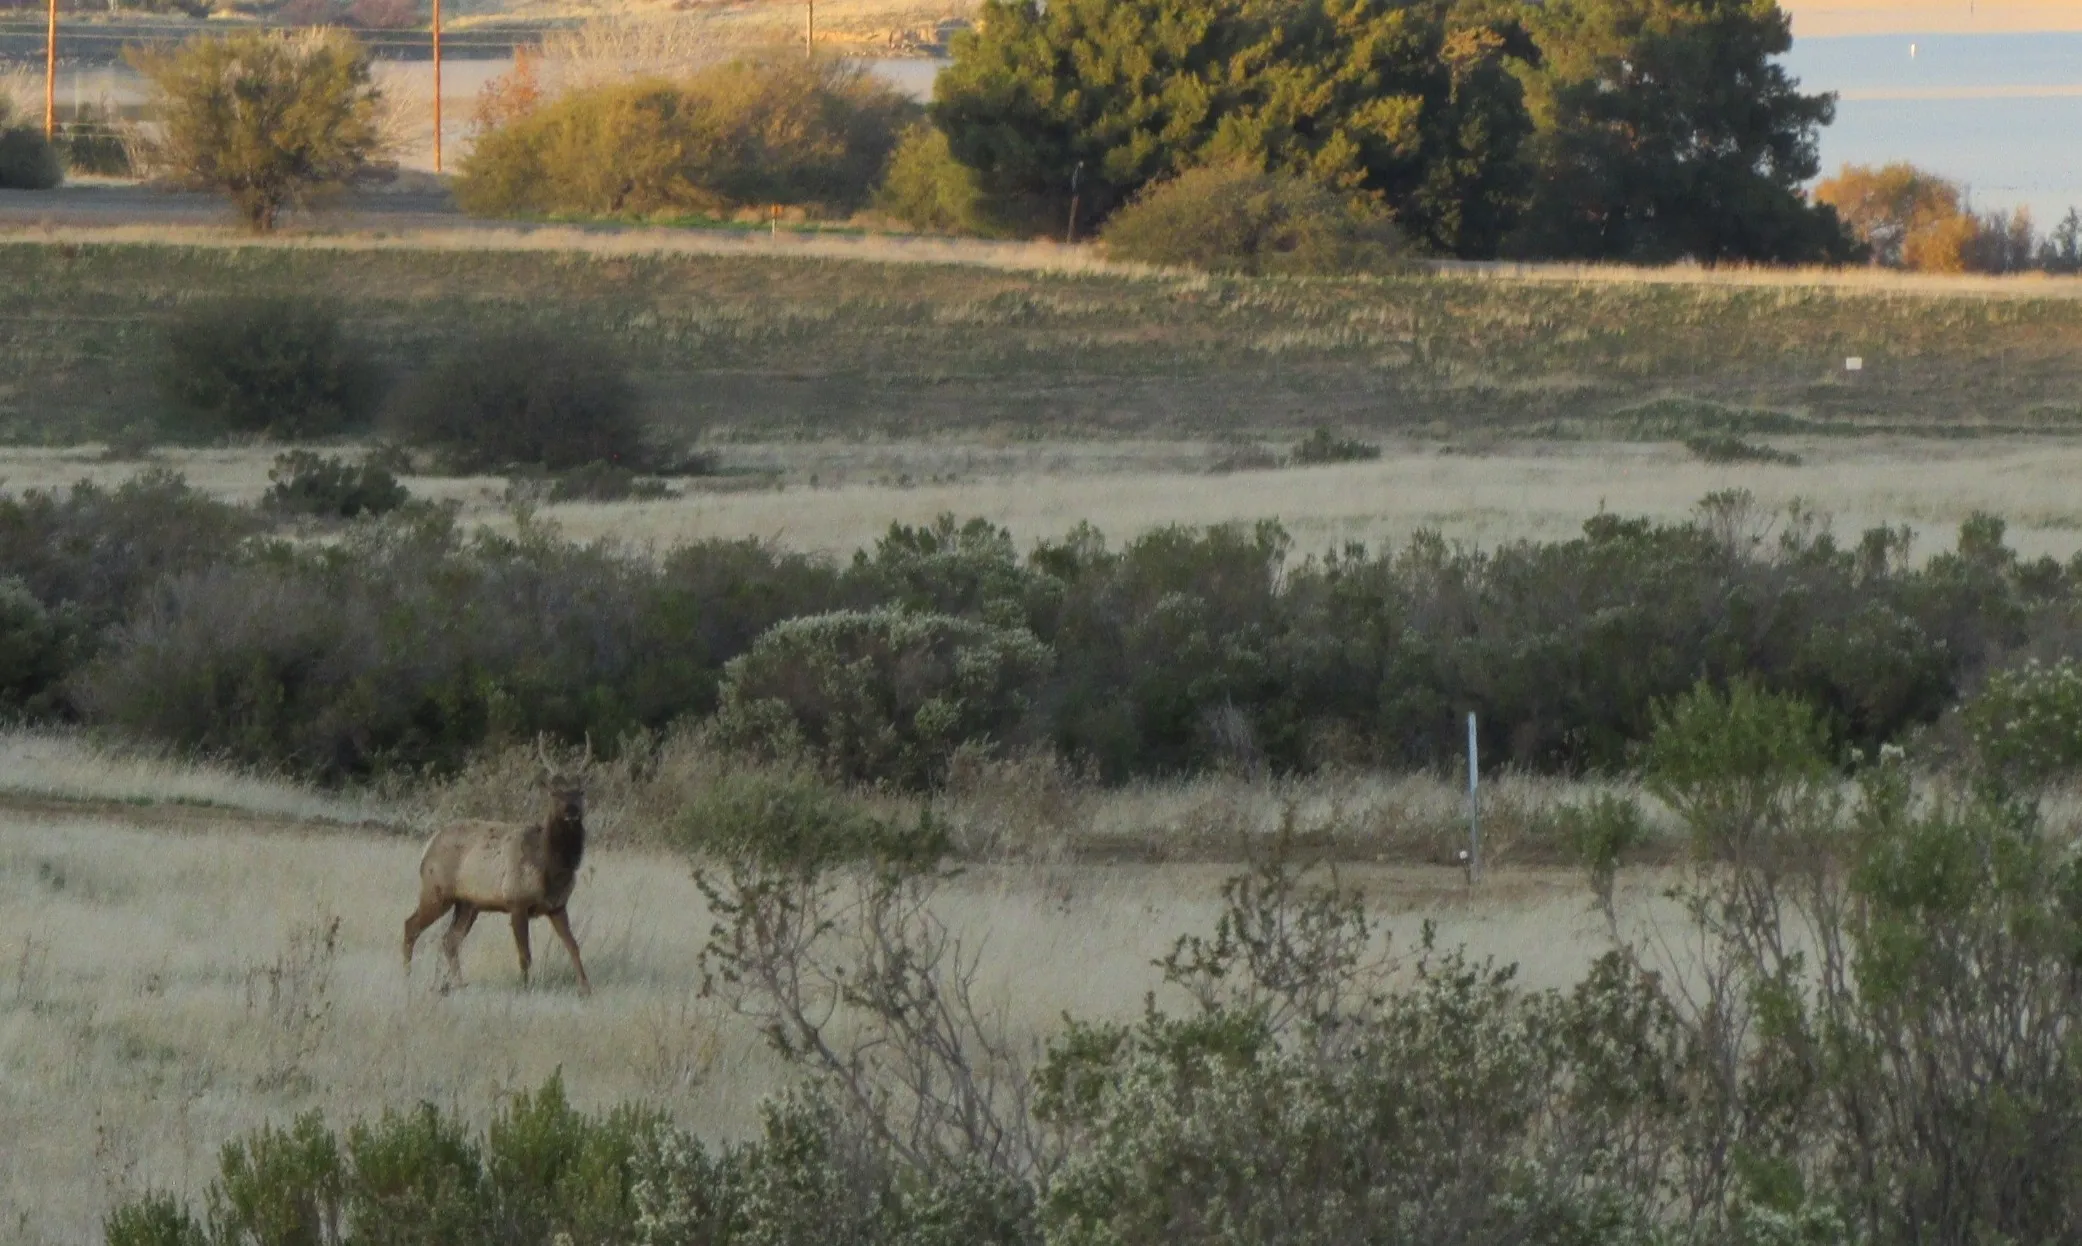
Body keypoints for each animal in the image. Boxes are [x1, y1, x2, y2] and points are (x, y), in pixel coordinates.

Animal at [403, 735, 594, 996]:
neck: (550, 868)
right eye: (555, 793)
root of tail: (428, 845)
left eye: (581, 792)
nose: (572, 811)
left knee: (449, 939)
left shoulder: (557, 906)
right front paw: (525, 987)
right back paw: (407, 977)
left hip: (468, 903)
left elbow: (573, 945)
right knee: (411, 926)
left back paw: (459, 983)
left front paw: (585, 987)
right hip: (436, 891)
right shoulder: (517, 901)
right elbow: (525, 954)